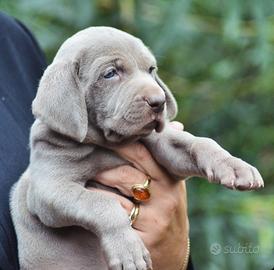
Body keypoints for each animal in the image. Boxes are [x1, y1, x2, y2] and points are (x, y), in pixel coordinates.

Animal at [10, 25, 264, 270]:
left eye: (151, 69)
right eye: (110, 73)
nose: (159, 101)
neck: (108, 143)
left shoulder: (162, 146)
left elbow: (199, 143)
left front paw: (234, 166)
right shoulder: (48, 189)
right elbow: (101, 203)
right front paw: (128, 249)